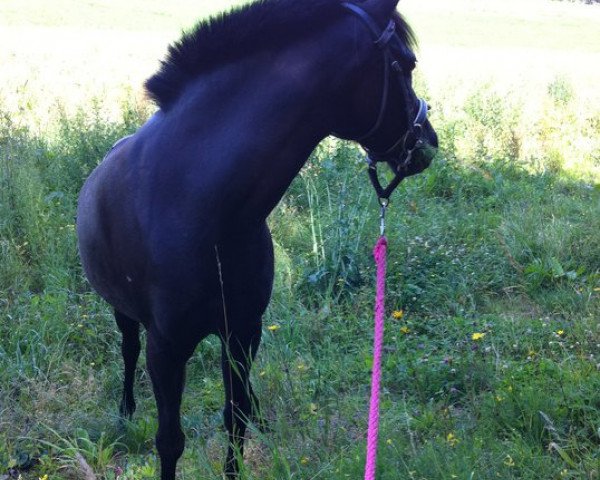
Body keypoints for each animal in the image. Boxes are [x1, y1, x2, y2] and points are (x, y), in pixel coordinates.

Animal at [78, 0, 436, 476]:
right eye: (407, 63)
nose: (427, 141)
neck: (199, 204)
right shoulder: (166, 349)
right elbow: (170, 440)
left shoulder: (243, 329)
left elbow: (236, 418)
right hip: (125, 314)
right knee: (127, 348)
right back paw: (125, 411)